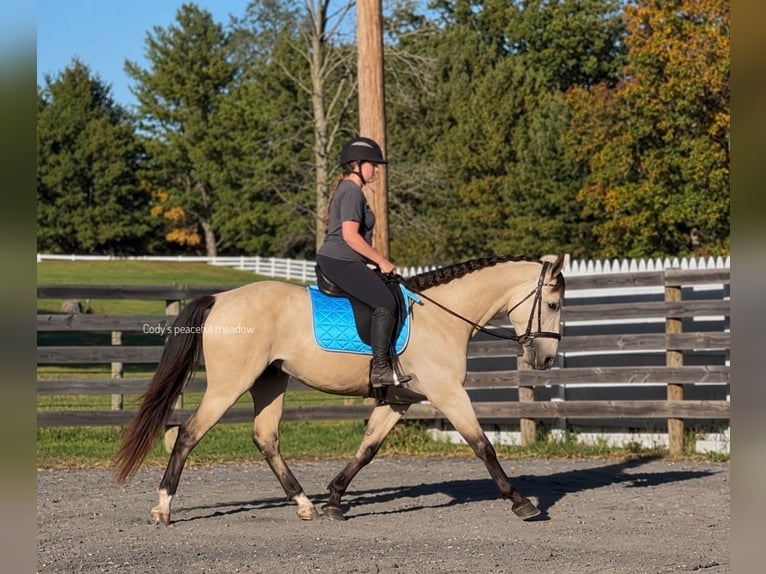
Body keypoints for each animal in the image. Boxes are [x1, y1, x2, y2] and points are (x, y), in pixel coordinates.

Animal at [114, 254, 566, 524]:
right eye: (554, 305)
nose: (545, 359)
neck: (441, 316)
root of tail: (220, 300)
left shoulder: (400, 402)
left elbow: (367, 449)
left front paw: (333, 499)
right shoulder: (447, 393)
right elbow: (482, 445)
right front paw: (521, 502)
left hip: (270, 380)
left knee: (265, 437)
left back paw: (304, 504)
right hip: (230, 384)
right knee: (188, 433)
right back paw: (163, 506)